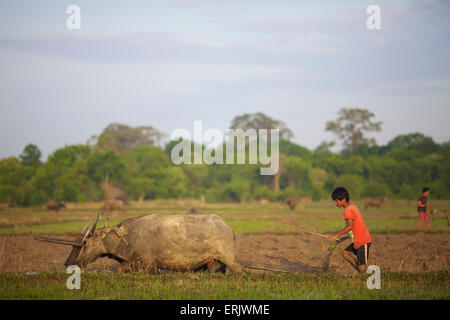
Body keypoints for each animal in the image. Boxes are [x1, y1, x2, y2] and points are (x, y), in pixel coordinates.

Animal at [32, 214, 243, 274]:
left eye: (84, 241)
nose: (69, 263)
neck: (127, 239)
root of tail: (228, 228)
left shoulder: (150, 267)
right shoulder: (128, 264)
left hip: (230, 260)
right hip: (214, 264)